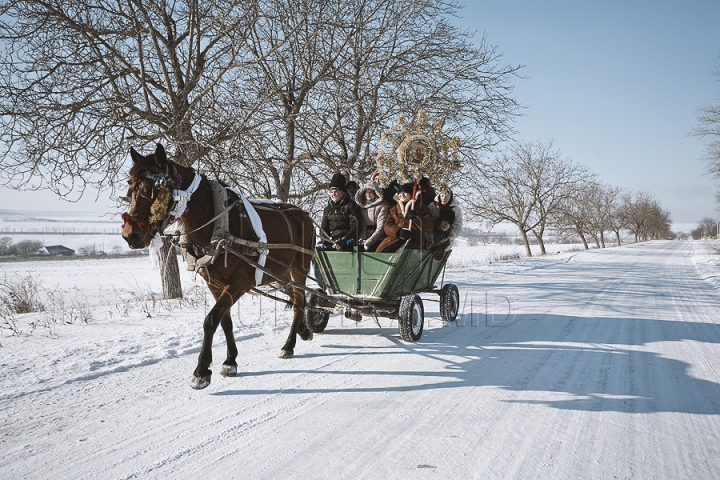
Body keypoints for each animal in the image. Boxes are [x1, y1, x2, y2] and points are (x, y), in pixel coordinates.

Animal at [121, 143, 316, 390]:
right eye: (130, 191)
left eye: (152, 190)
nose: (131, 236)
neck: (217, 226)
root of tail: (304, 214)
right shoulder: (214, 283)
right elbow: (225, 321)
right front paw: (230, 360)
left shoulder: (240, 283)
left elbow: (211, 320)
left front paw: (201, 371)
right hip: (279, 273)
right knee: (295, 298)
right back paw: (303, 330)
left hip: (299, 269)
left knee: (299, 300)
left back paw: (289, 345)